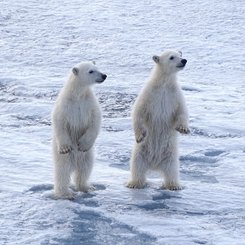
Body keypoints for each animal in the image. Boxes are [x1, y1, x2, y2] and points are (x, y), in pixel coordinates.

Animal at [52, 60, 106, 199]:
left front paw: (82, 144)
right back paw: (65, 193)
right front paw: (65, 147)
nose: (104, 76)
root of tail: (75, 163)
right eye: (91, 71)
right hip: (64, 158)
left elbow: (95, 120)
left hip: (88, 155)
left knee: (85, 169)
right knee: (62, 171)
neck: (78, 94)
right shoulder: (65, 105)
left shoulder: (89, 103)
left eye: (97, 68)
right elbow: (59, 121)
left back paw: (87, 187)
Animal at [127, 49, 189, 190]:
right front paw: (140, 136)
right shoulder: (150, 94)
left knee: (172, 169)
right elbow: (138, 111)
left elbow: (181, 111)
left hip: (170, 154)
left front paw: (184, 129)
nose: (184, 60)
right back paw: (135, 183)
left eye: (180, 55)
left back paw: (174, 185)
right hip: (141, 152)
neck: (164, 83)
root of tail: (154, 165)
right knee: (137, 165)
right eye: (172, 57)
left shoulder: (175, 95)